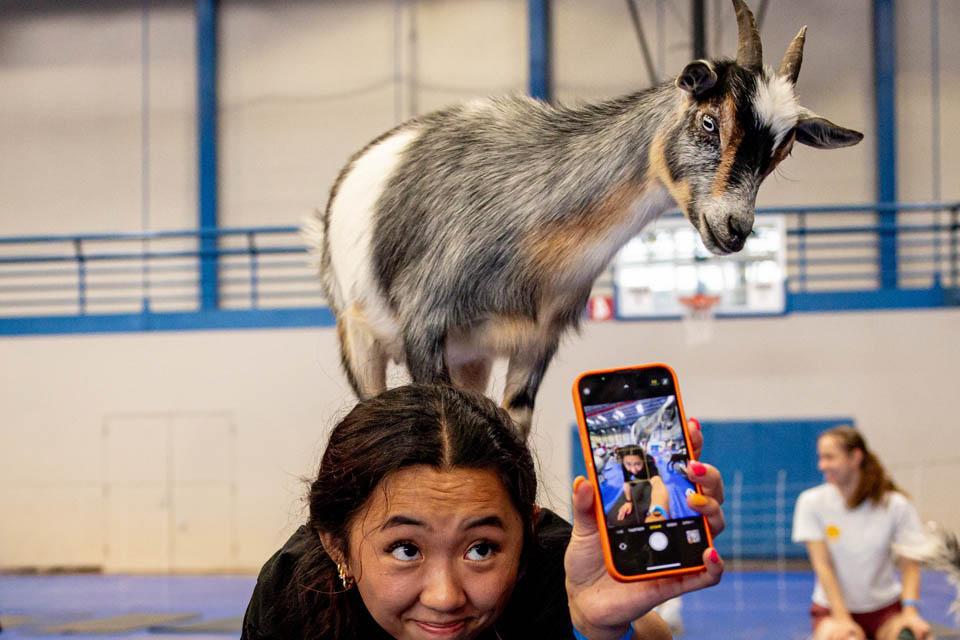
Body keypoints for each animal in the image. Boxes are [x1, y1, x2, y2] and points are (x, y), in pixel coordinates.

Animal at [306, 0, 864, 438]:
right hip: (359, 334)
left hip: (472, 356)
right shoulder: (424, 325)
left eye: (780, 154)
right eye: (710, 121)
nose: (734, 228)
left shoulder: (535, 341)